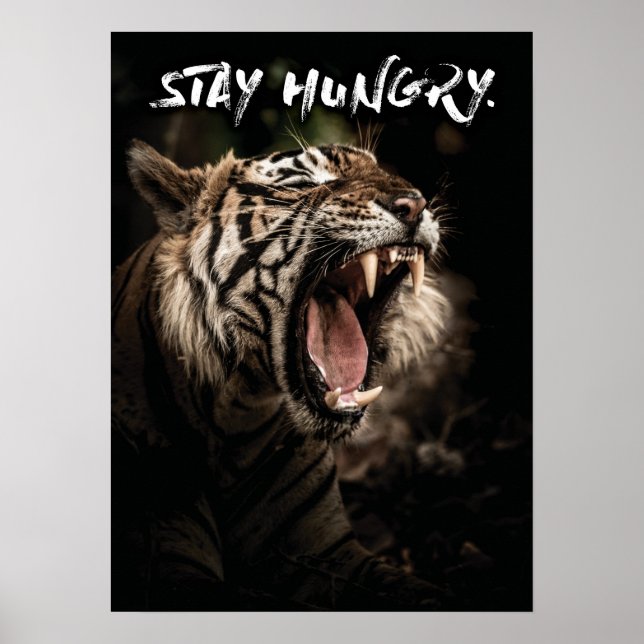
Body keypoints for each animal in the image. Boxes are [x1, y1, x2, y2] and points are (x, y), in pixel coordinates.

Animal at [111, 139, 450, 610]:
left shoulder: (329, 550)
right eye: (304, 181)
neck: (237, 413)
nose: (415, 204)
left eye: (384, 172)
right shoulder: (169, 560)